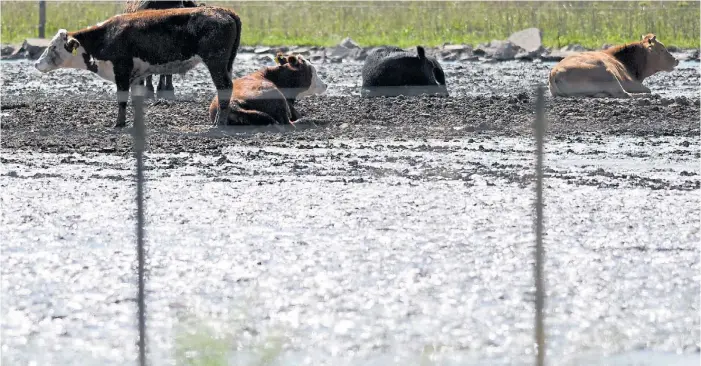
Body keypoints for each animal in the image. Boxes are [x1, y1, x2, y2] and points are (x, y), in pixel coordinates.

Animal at [34, 5, 242, 128]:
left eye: (53, 47)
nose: (36, 63)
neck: (106, 37)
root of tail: (224, 11)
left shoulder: (121, 70)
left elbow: (122, 100)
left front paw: (119, 123)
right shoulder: (135, 76)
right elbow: (136, 100)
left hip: (215, 61)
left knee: (224, 87)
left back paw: (219, 123)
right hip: (226, 64)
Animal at [548, 33, 680, 98]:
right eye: (662, 49)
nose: (676, 60)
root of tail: (555, 73)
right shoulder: (630, 82)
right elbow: (648, 89)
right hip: (608, 74)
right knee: (624, 94)